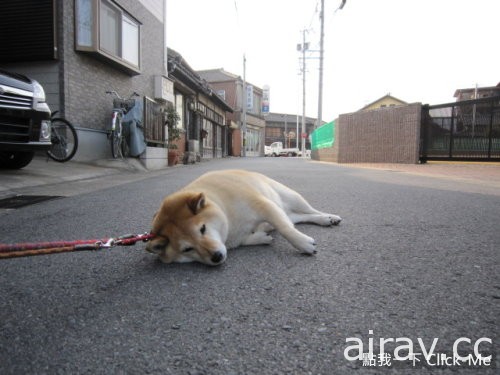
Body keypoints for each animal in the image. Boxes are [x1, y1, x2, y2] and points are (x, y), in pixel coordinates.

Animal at [145, 170, 340, 264]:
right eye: (187, 249)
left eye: (202, 229)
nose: (216, 257)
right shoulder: (235, 238)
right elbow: (248, 239)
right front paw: (262, 237)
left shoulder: (263, 206)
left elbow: (284, 229)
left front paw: (303, 244)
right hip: (288, 212)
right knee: (300, 218)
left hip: (291, 197)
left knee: (311, 211)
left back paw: (328, 217)